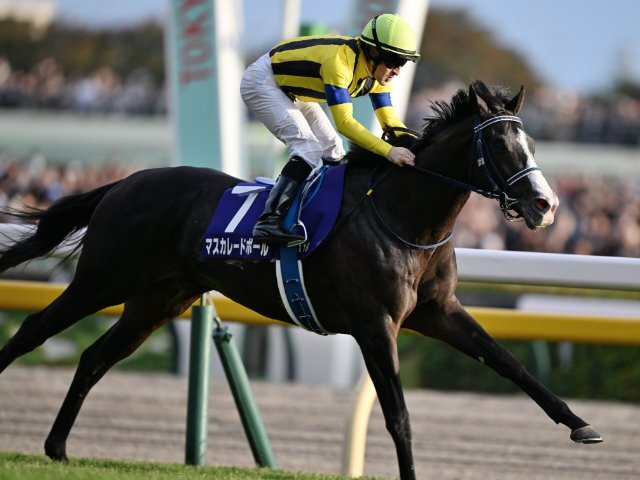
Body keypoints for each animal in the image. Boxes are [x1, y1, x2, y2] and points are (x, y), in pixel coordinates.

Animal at [0, 80, 602, 479]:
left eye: (531, 145)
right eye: (500, 146)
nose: (546, 205)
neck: (406, 215)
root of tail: (122, 183)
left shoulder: (438, 312)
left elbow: (510, 363)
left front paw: (580, 424)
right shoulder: (375, 323)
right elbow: (398, 414)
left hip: (158, 300)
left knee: (92, 358)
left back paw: (57, 448)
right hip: (104, 279)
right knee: (33, 329)